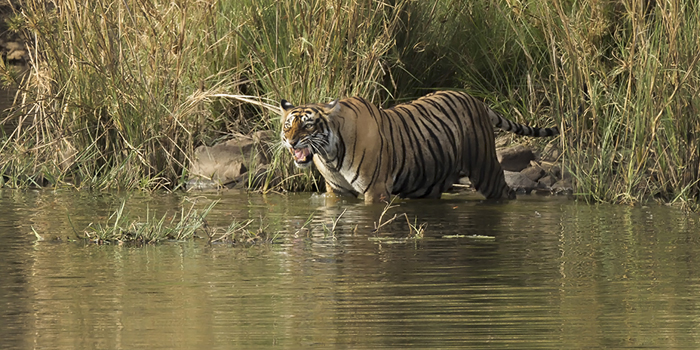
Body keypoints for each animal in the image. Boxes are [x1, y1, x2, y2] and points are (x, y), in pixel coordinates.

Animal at [278, 90, 556, 204]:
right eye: (288, 126)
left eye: (308, 126)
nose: (291, 142)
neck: (330, 155)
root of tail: (477, 100)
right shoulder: (337, 192)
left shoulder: (376, 190)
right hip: (428, 180)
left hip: (485, 169)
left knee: (507, 193)